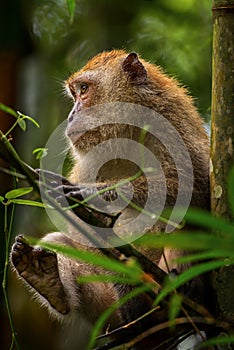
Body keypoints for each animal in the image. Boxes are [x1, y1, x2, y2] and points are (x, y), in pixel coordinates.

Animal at [10, 50, 209, 348]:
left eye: (84, 90)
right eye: (75, 93)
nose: (71, 115)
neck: (127, 131)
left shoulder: (174, 126)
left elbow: (195, 189)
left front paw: (95, 193)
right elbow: (81, 230)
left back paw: (180, 289)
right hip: (107, 312)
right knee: (61, 244)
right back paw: (49, 281)